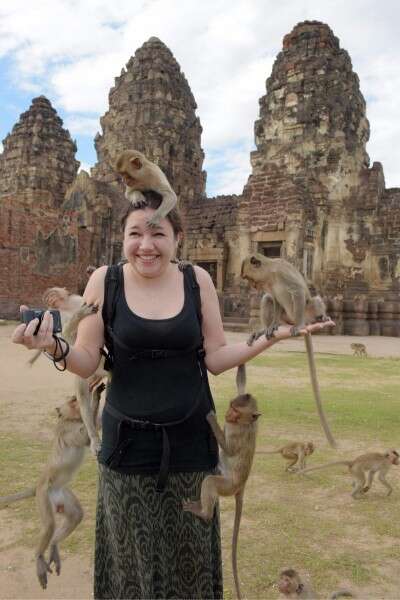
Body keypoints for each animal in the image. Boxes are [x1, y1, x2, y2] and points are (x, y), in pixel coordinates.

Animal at [0, 386, 104, 588]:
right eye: (73, 400)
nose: (78, 401)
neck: (72, 419)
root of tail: (38, 485)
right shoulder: (66, 429)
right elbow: (85, 437)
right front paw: (95, 396)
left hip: (62, 494)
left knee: (76, 515)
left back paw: (54, 544)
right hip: (43, 495)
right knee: (49, 524)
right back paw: (38, 556)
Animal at [241, 252, 338, 446]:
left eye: (249, 278)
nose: (252, 286)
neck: (270, 273)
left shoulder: (283, 275)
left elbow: (298, 291)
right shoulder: (270, 285)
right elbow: (274, 300)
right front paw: (270, 327)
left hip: (304, 312)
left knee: (312, 300)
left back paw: (318, 319)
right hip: (286, 317)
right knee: (268, 299)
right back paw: (266, 329)